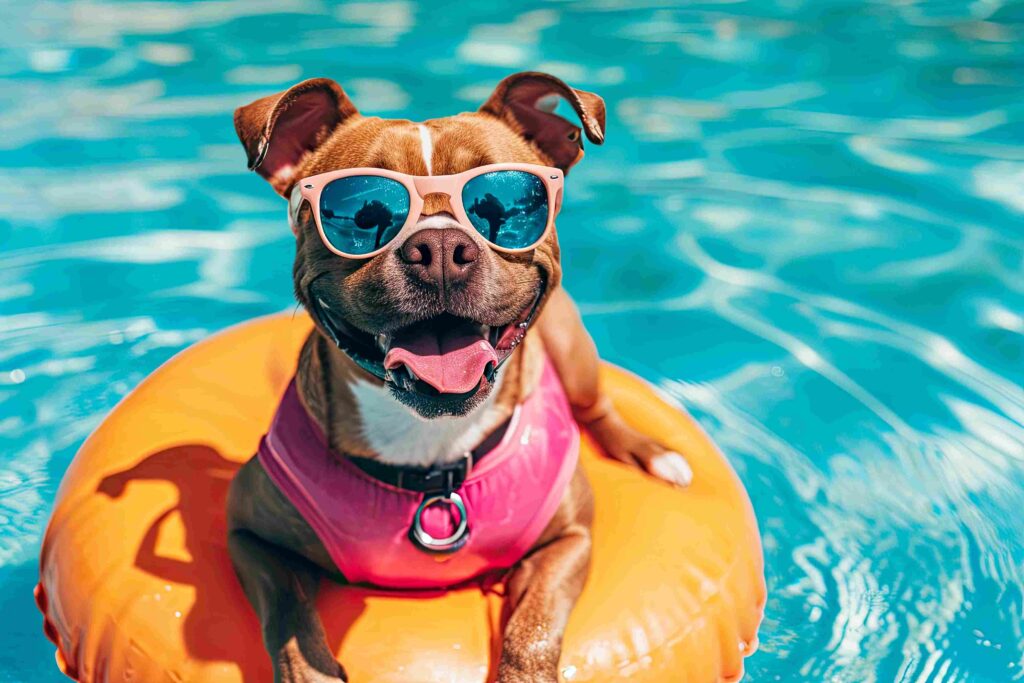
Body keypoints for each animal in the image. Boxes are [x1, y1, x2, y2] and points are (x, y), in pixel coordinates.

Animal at [227, 72, 692, 679]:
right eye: (358, 210)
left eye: (505, 202)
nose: (442, 246)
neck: (431, 447)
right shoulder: (248, 535)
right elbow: (289, 618)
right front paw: (312, 667)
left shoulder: (568, 542)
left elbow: (533, 631)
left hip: (574, 352)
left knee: (598, 408)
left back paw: (651, 454)